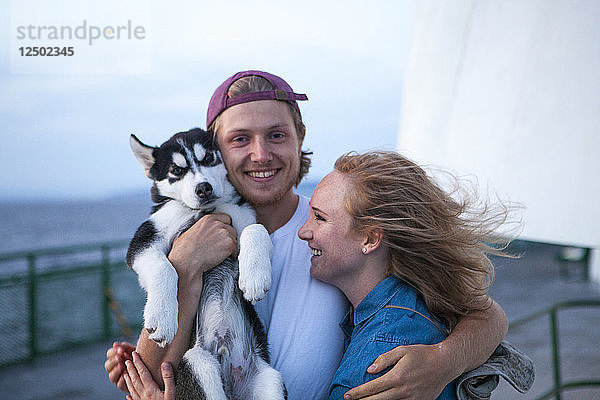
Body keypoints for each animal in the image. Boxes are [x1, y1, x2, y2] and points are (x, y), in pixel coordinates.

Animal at [126, 129, 286, 400]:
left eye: (209, 158)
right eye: (176, 170)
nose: (203, 188)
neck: (209, 209)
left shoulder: (242, 218)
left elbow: (256, 229)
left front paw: (254, 278)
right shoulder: (144, 240)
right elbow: (164, 268)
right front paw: (162, 316)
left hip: (270, 380)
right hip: (197, 364)